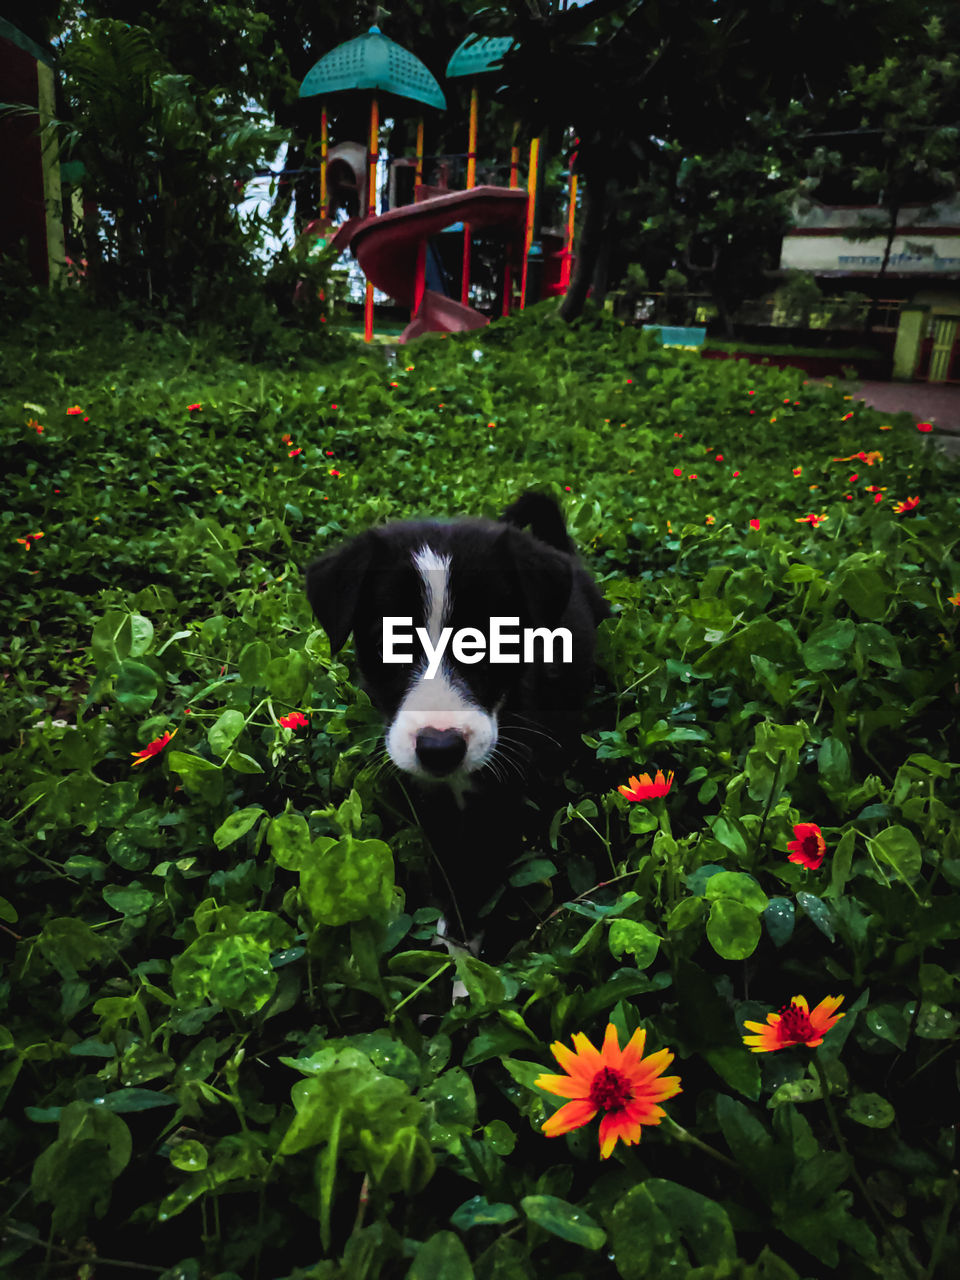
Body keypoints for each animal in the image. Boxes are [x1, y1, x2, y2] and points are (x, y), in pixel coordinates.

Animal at [308, 488, 609, 952]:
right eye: (390, 641)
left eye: (495, 640)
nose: (440, 748)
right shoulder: (432, 798)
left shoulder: (509, 791)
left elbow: (485, 865)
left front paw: (468, 944)